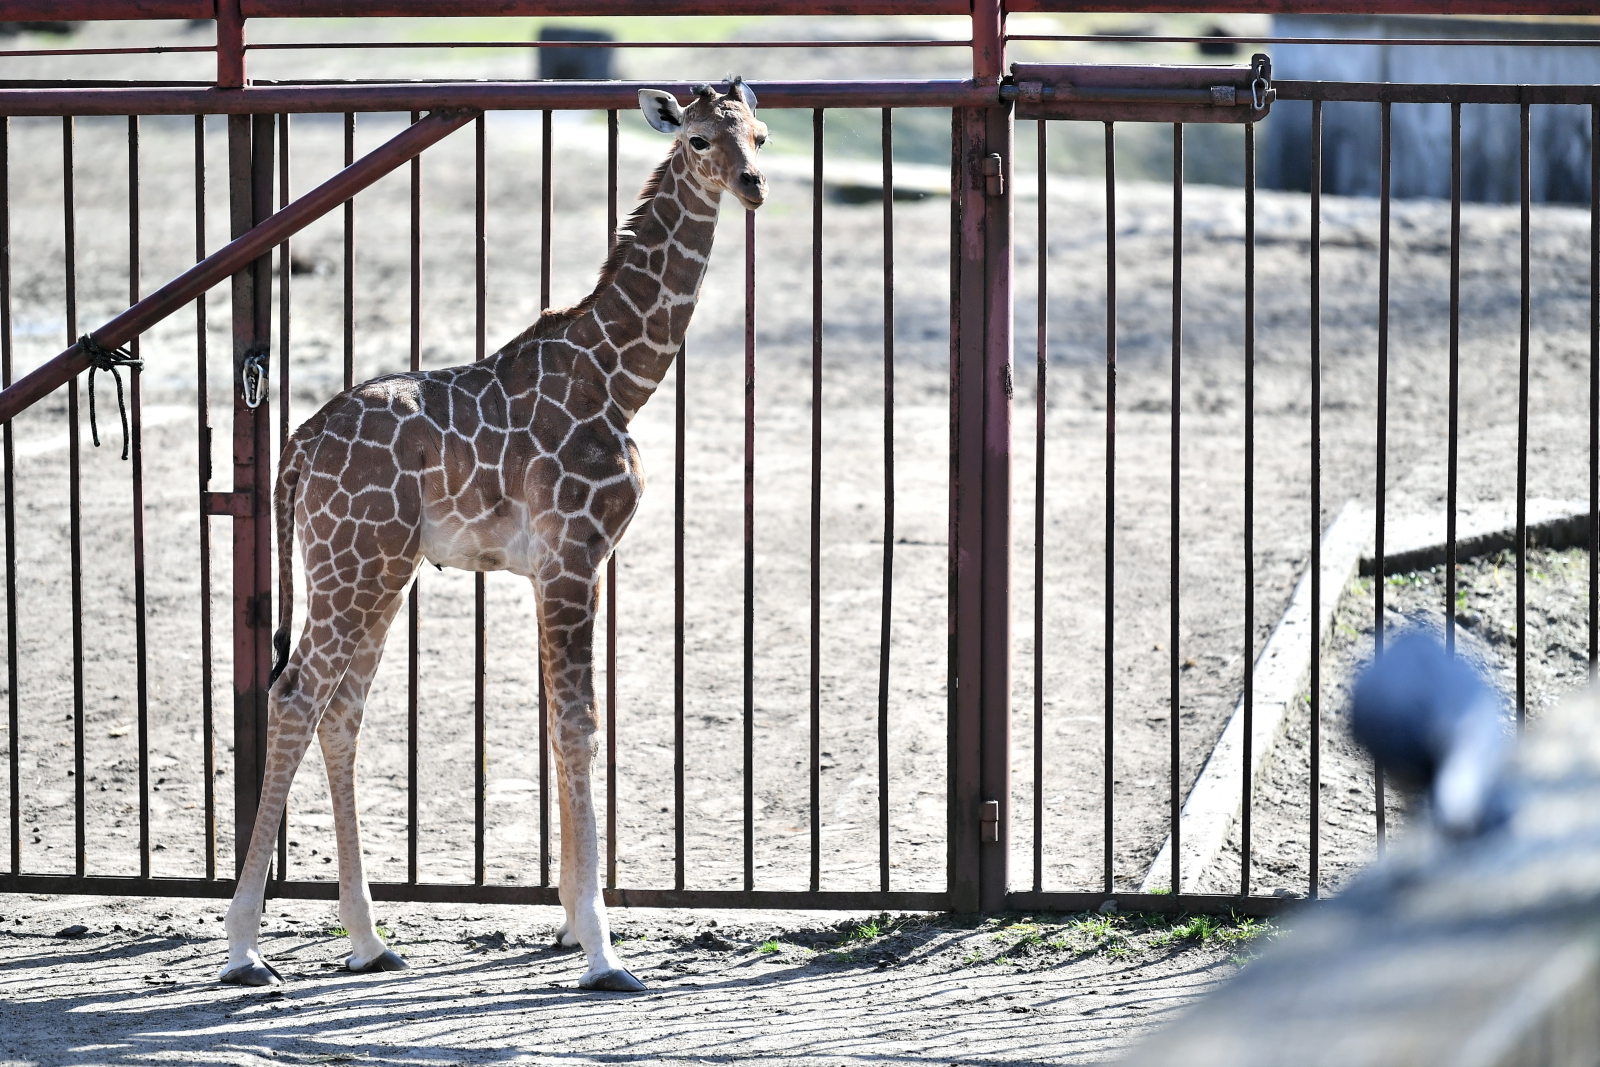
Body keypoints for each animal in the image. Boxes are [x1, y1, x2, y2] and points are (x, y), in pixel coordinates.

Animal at [222, 81, 771, 991]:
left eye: (758, 134)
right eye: (698, 139)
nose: (754, 183)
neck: (620, 379)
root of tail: (298, 446)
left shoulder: (569, 564)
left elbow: (561, 721)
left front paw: (572, 926)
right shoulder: (572, 556)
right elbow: (580, 723)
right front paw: (602, 952)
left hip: (380, 567)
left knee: (343, 709)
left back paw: (369, 940)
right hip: (354, 563)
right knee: (297, 693)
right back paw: (243, 949)